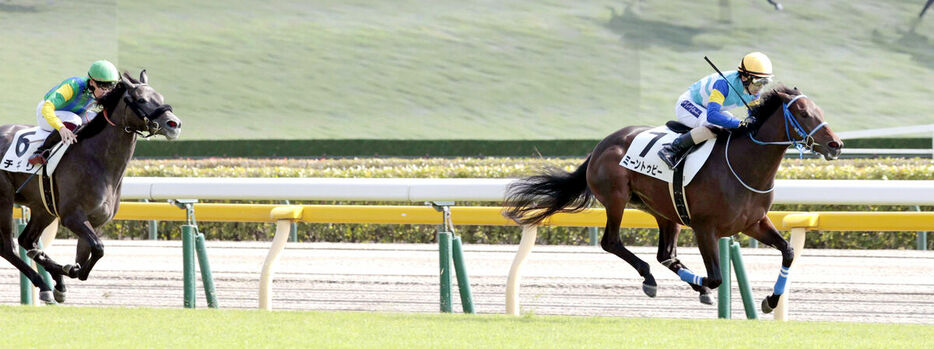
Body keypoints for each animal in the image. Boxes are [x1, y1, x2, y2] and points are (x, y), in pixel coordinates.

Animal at [0, 70, 181, 302]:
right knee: (7, 247)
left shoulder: (94, 220)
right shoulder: (72, 217)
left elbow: (88, 253)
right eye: (141, 100)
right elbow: (98, 248)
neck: (97, 160)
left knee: (27, 241)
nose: (174, 124)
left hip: (43, 208)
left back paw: (54, 279)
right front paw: (71, 270)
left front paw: (68, 270)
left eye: (160, 97)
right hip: (4, 199)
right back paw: (43, 284)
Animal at [508, 85, 844, 312]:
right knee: (612, 242)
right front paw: (705, 288)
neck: (743, 165)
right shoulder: (705, 228)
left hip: (665, 211)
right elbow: (716, 278)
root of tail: (602, 144)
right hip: (616, 198)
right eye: (803, 113)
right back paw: (649, 278)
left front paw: (771, 300)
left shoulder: (754, 223)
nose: (836, 144)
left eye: (821, 112)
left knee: (665, 254)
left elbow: (788, 251)